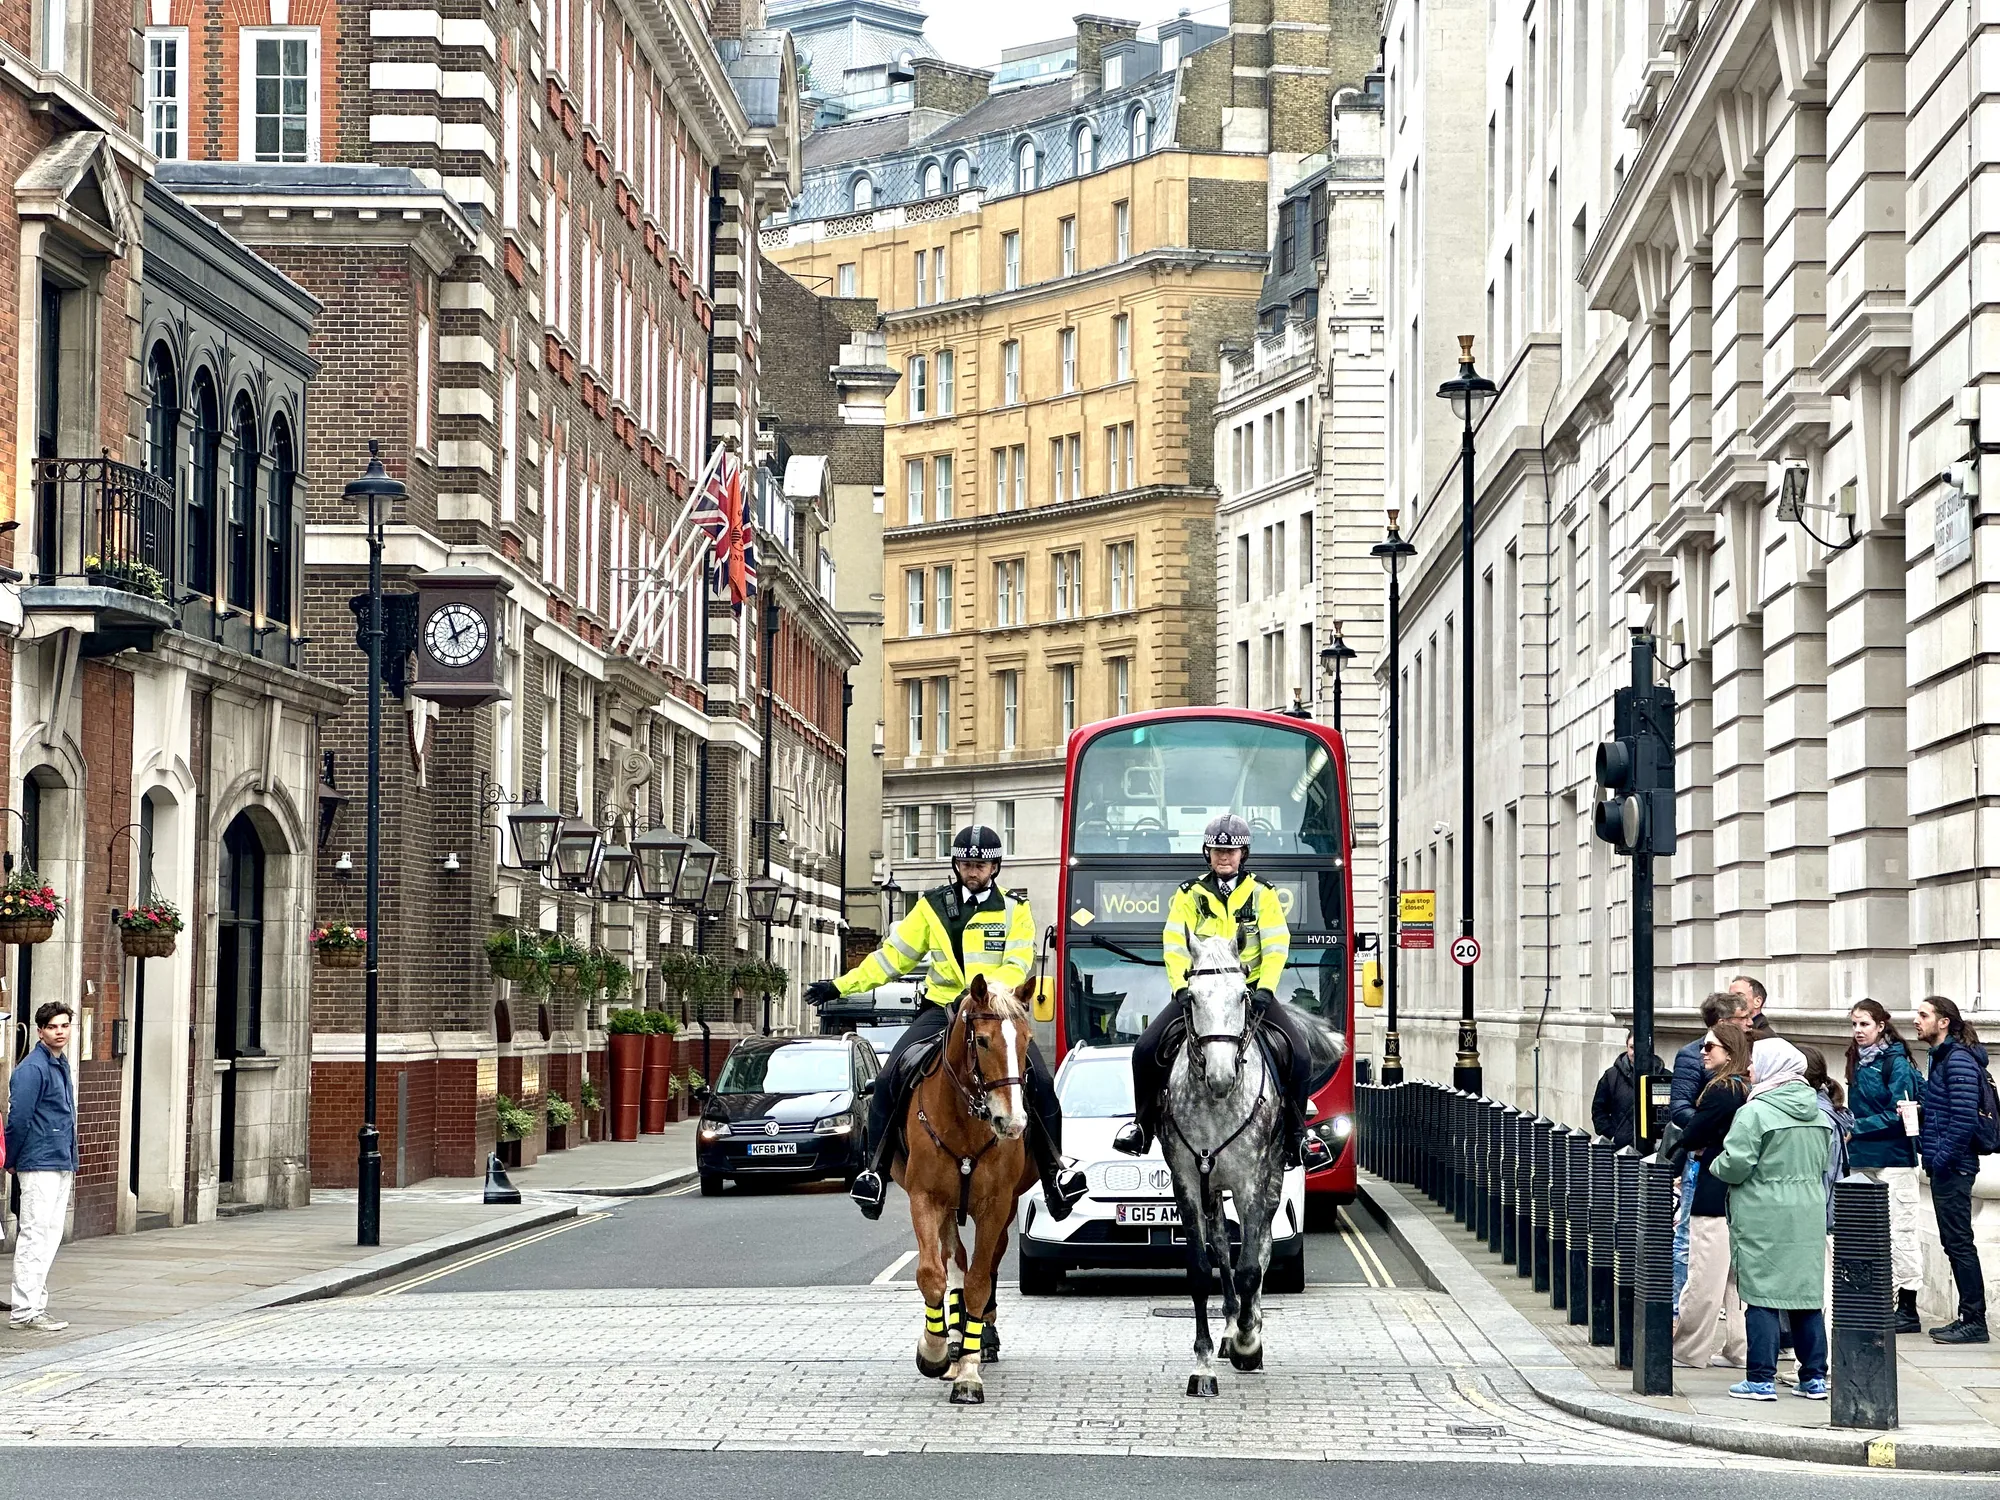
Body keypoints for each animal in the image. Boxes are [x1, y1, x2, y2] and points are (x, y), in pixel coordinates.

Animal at [893, 972, 1037, 1405]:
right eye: (984, 1041)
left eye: (1026, 1040)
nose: (1012, 1122)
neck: (967, 1122)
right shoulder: (925, 1198)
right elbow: (932, 1274)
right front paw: (935, 1351)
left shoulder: (996, 1205)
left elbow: (977, 1283)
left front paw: (969, 1374)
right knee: (953, 1259)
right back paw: (953, 1342)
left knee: (987, 1266)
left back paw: (979, 1338)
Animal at [1160, 933, 1343, 1397]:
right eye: (1191, 996)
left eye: (1243, 995)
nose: (1222, 1075)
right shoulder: (1187, 1183)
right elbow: (1202, 1268)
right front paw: (1204, 1364)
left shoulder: (1251, 1182)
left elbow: (1249, 1268)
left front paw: (1248, 1343)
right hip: (1213, 1186)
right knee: (1224, 1246)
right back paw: (1228, 1328)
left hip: (1271, 1179)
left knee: (1258, 1250)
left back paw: (1248, 1328)